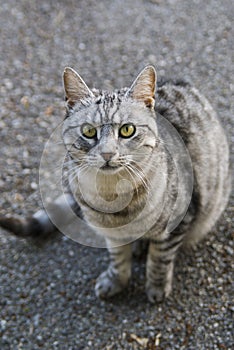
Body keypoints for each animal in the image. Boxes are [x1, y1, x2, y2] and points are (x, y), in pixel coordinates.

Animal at [0, 66, 230, 304]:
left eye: (127, 130)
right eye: (89, 131)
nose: (107, 153)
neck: (112, 194)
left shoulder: (179, 220)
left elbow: (160, 259)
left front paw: (156, 286)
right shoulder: (112, 236)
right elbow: (118, 259)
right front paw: (116, 281)